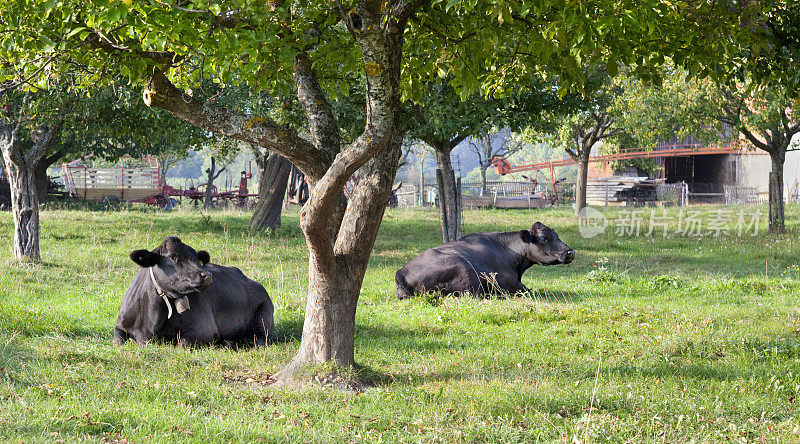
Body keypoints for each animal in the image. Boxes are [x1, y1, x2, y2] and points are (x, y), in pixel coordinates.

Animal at [114, 236, 274, 346]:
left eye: (197, 258)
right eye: (172, 257)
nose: (207, 275)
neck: (150, 324)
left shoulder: (204, 328)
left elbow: (182, 343)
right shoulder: (119, 327)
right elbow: (118, 341)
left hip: (264, 317)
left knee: (261, 339)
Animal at [396, 222, 576, 298]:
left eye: (557, 236)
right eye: (544, 238)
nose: (570, 252)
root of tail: (401, 272)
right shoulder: (508, 282)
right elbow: (528, 290)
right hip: (466, 272)